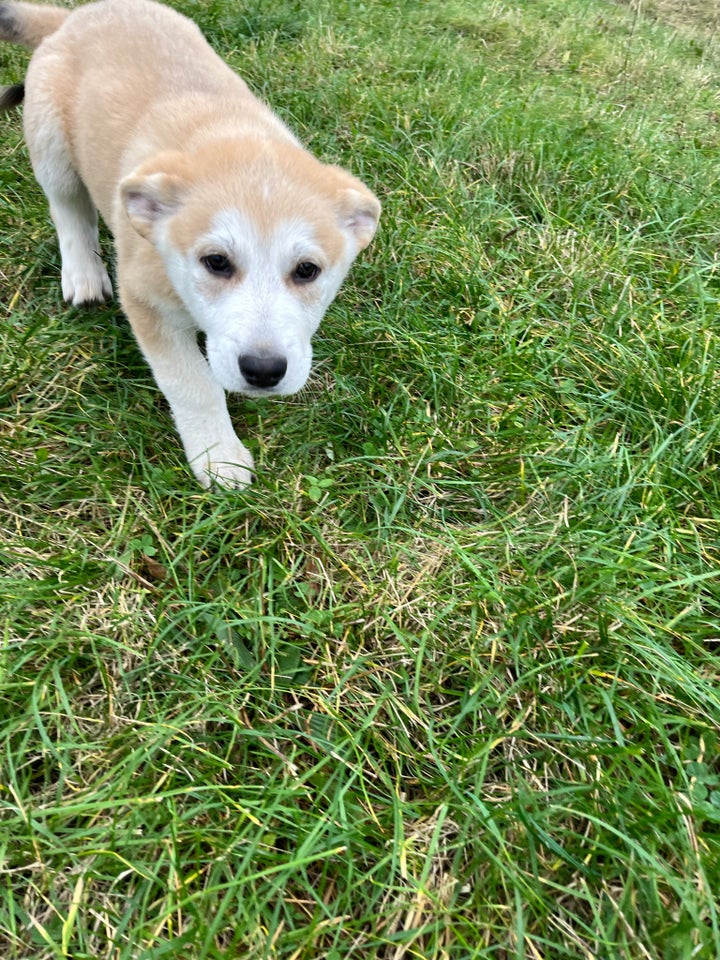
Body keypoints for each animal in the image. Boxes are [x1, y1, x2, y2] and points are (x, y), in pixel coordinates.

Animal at [0, 0, 380, 488]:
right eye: (215, 262)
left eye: (307, 270)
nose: (263, 371)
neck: (234, 141)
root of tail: (74, 17)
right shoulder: (146, 301)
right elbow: (193, 384)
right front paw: (218, 456)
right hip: (50, 142)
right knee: (69, 209)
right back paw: (83, 272)